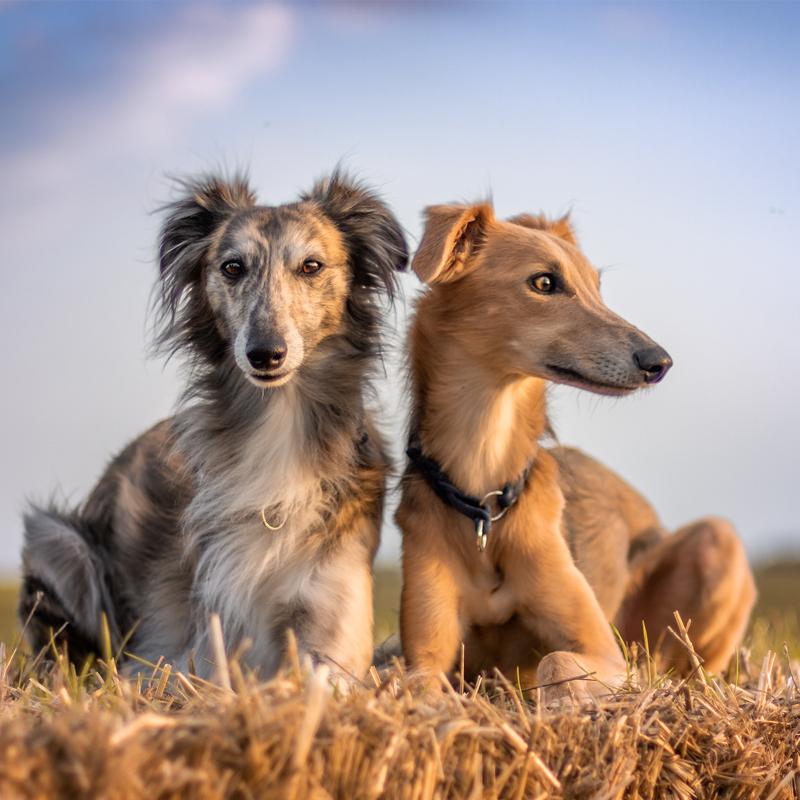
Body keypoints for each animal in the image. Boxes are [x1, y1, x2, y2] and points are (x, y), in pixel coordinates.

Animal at [20, 172, 406, 680]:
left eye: (311, 266)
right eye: (232, 267)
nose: (265, 354)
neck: (277, 424)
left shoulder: (334, 635)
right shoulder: (202, 646)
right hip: (59, 543)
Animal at [400, 202, 756, 700]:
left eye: (597, 287)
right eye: (544, 282)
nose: (660, 362)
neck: (485, 499)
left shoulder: (604, 652)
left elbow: (556, 661)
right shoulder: (425, 660)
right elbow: (413, 684)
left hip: (715, 543)